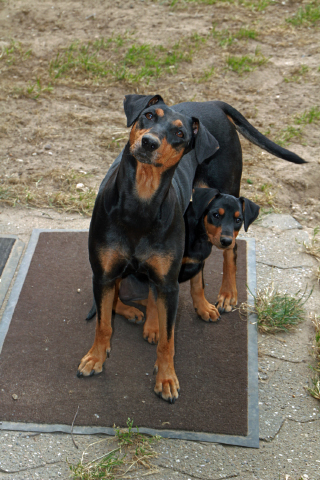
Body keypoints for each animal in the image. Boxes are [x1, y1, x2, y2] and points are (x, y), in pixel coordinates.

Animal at [78, 93, 304, 402]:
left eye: (180, 134)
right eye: (148, 116)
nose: (149, 142)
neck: (140, 201)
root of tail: (212, 103)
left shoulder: (168, 283)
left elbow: (168, 339)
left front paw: (166, 378)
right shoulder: (103, 274)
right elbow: (103, 324)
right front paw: (95, 358)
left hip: (228, 191)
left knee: (229, 250)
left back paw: (224, 295)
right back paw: (137, 312)